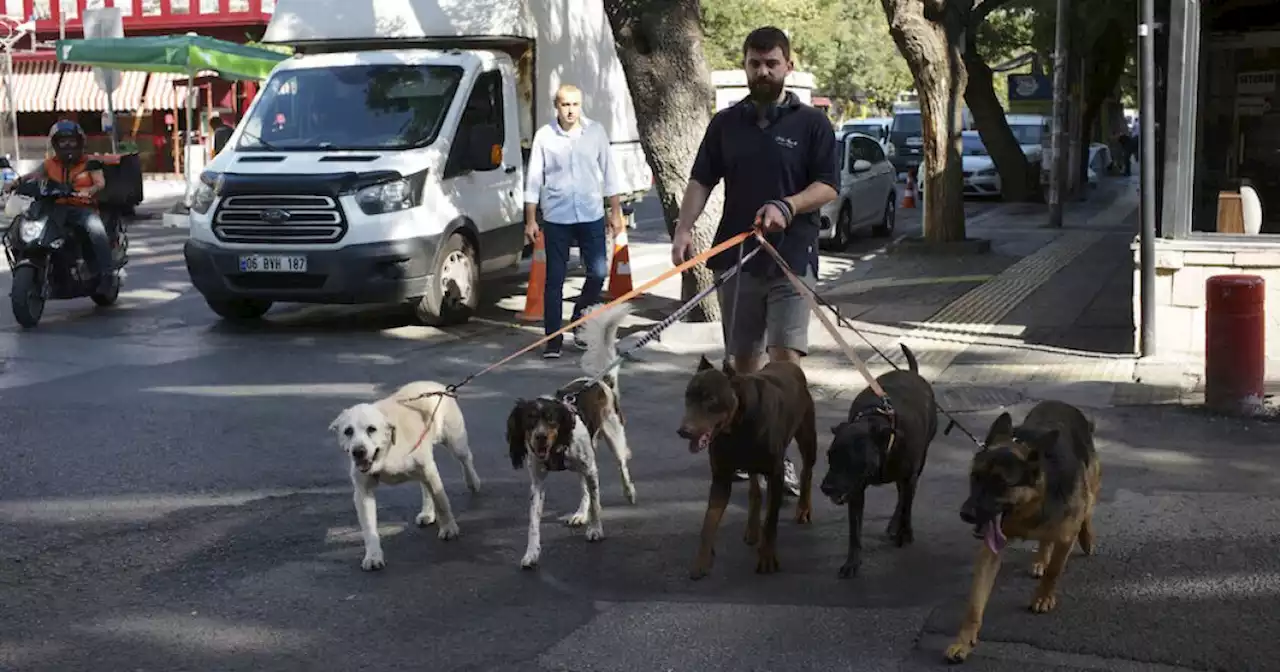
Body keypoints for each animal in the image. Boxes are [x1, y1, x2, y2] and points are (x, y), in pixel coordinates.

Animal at [330, 378, 483, 568]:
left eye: (371, 429)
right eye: (348, 431)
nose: (358, 451)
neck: (387, 451)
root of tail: (438, 386)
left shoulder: (429, 470)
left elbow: (442, 502)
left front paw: (449, 528)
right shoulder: (363, 492)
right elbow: (369, 528)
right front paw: (373, 555)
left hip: (455, 442)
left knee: (466, 459)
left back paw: (473, 481)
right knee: (425, 487)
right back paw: (427, 513)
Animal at [504, 300, 634, 568]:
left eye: (552, 419)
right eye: (529, 421)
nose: (540, 438)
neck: (556, 449)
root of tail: (601, 381)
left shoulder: (591, 468)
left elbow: (597, 503)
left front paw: (595, 529)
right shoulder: (537, 483)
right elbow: (533, 524)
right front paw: (531, 553)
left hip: (614, 438)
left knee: (621, 466)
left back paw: (629, 492)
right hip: (584, 464)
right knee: (585, 489)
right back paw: (580, 513)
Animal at [675, 353, 814, 578]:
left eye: (710, 399)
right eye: (688, 396)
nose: (683, 431)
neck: (736, 426)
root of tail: (789, 366)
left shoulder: (775, 473)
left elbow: (771, 521)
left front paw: (767, 557)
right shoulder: (721, 477)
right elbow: (708, 522)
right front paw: (701, 561)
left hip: (807, 436)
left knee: (807, 471)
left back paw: (803, 509)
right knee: (754, 490)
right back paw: (752, 529)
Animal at [819, 343, 942, 578]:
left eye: (851, 459)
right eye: (830, 455)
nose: (826, 488)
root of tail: (911, 372)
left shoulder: (909, 476)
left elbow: (906, 507)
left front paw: (905, 533)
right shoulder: (856, 491)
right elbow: (854, 530)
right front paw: (852, 562)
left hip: (918, 464)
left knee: (904, 498)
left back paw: (899, 527)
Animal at [942, 401, 1100, 660]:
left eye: (1000, 484)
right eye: (975, 477)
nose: (966, 514)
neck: (1031, 503)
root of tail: (1061, 403)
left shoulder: (1066, 536)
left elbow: (1054, 571)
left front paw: (1043, 596)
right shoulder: (991, 550)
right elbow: (975, 602)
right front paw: (963, 641)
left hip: (1092, 483)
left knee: (1087, 509)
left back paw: (1086, 538)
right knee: (1046, 540)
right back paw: (1040, 559)